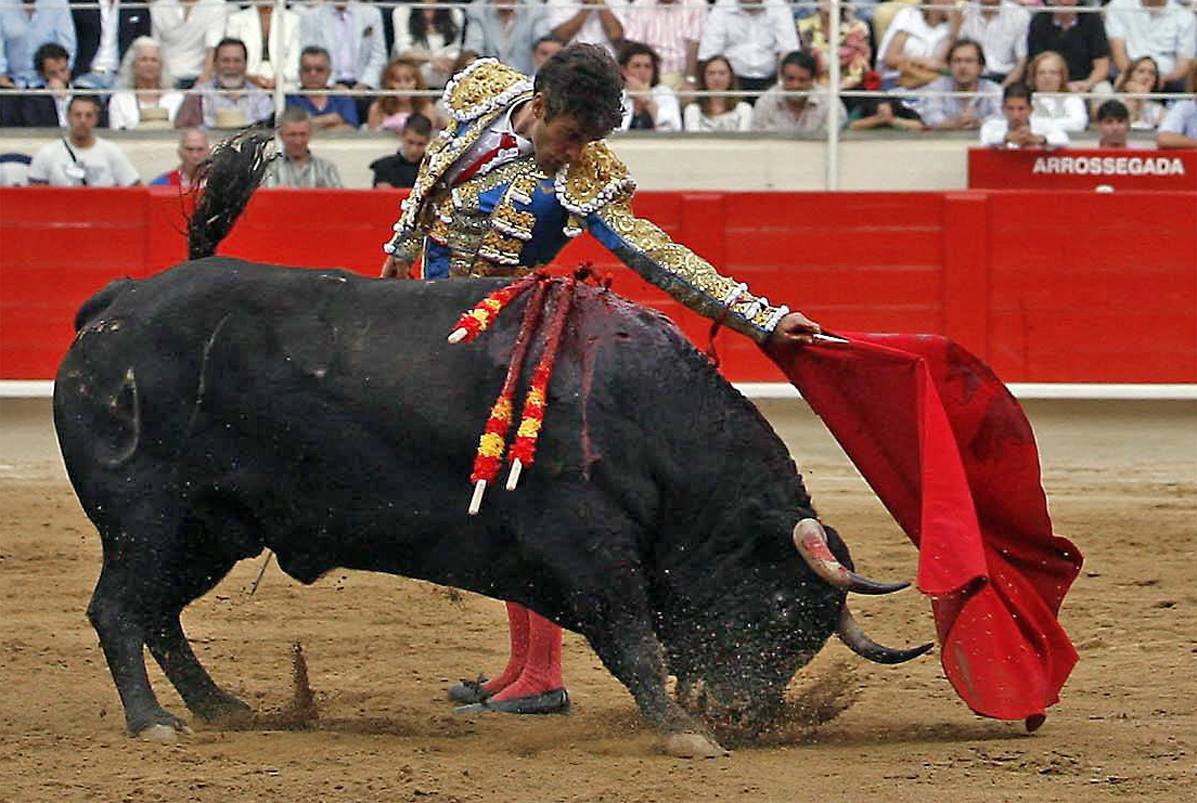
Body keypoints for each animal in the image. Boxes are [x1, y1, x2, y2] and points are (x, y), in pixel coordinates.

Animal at [56, 259, 924, 756]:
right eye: (775, 607)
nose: (745, 713)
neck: (646, 417)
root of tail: (117, 304)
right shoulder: (591, 552)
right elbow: (634, 639)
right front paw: (686, 734)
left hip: (210, 530)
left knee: (160, 615)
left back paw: (221, 706)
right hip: (148, 519)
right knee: (118, 610)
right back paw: (152, 720)